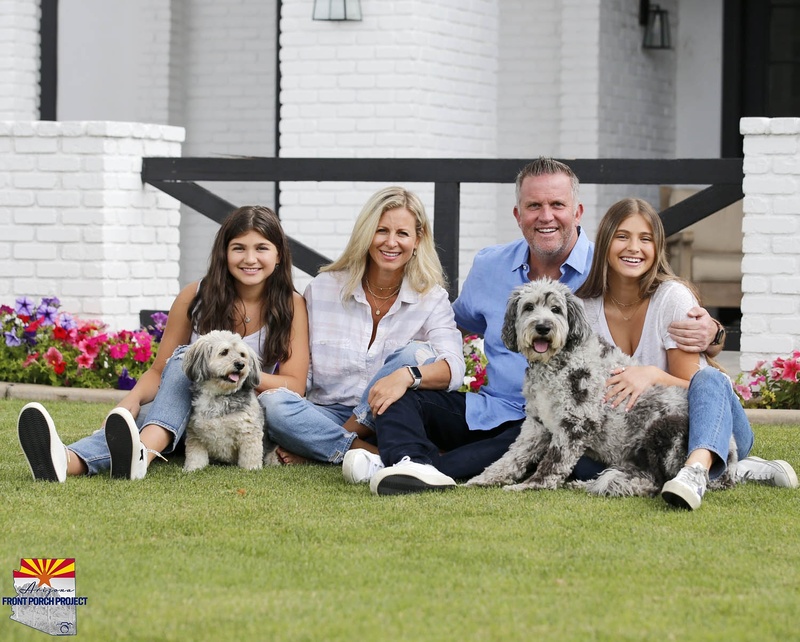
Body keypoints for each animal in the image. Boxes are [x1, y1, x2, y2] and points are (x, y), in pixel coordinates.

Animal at [182, 330, 278, 470]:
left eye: (242, 354)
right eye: (224, 352)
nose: (240, 364)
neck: (220, 395)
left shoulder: (249, 432)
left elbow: (250, 456)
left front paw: (252, 468)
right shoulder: (196, 434)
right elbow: (196, 456)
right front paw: (193, 469)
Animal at [468, 278, 736, 496]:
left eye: (556, 309)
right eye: (529, 307)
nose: (543, 327)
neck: (559, 360)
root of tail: (730, 469)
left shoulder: (576, 423)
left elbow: (553, 463)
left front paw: (531, 485)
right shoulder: (536, 424)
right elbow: (513, 456)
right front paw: (485, 478)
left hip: (666, 429)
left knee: (654, 483)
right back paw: (586, 484)